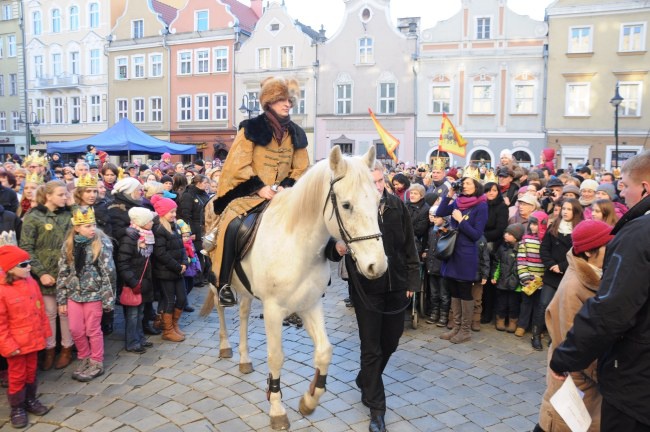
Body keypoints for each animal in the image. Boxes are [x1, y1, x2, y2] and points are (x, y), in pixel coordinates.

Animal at [200, 146, 388, 428]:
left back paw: (245, 358)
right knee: (221, 308)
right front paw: (277, 408)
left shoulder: (310, 304)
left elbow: (324, 352)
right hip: (216, 278)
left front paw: (309, 400)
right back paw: (225, 346)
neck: (297, 244)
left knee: (243, 315)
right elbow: (276, 357)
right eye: (346, 205)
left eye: (378, 201)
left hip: (246, 289)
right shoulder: (273, 310)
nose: (377, 265)